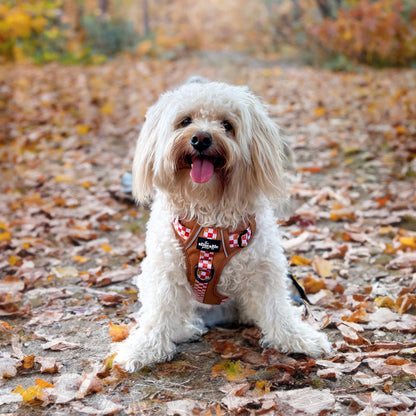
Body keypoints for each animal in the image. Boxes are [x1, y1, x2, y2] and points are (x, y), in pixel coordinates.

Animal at [114, 77, 332, 370]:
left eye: (227, 125)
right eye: (185, 121)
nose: (201, 138)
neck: (210, 217)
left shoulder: (264, 269)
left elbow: (277, 308)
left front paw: (297, 338)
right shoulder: (164, 271)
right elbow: (157, 313)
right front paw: (143, 348)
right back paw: (186, 328)